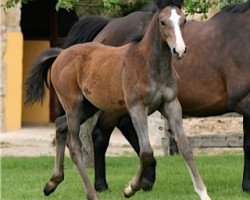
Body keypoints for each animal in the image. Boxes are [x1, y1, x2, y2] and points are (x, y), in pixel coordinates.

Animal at [25, 0, 210, 199]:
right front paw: (130, 188)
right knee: (74, 146)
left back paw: (51, 183)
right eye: (162, 22)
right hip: (74, 106)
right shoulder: (137, 107)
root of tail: (60, 54)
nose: (179, 50)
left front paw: (203, 192)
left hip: (88, 106)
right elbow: (146, 152)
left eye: (183, 20)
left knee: (60, 125)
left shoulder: (171, 104)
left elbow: (185, 147)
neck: (150, 65)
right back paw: (92, 193)